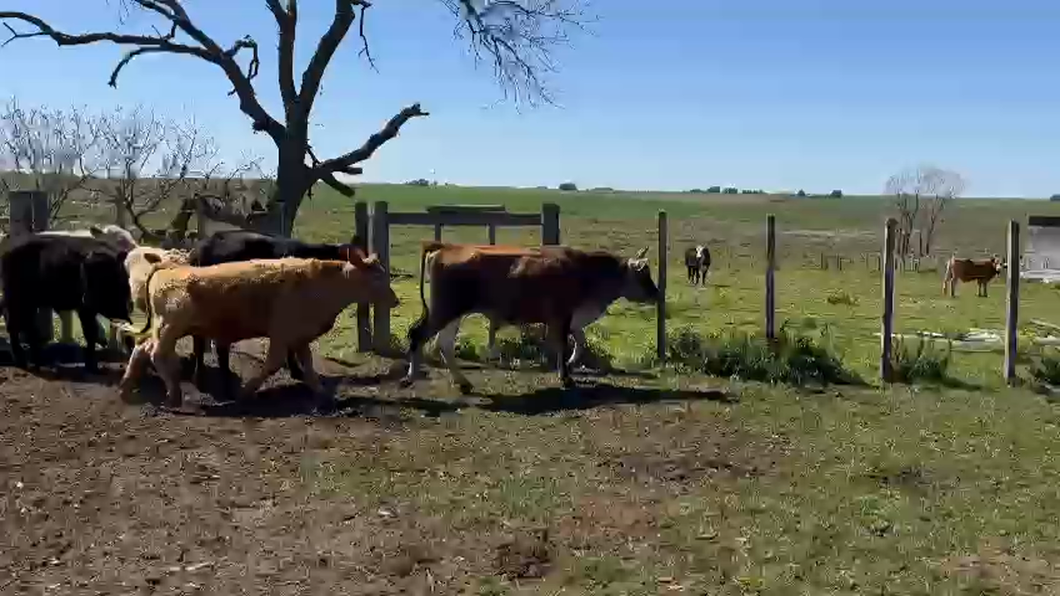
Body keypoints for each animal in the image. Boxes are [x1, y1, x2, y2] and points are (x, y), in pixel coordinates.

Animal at [0, 233, 132, 369]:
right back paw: (23, 362)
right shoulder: (85, 308)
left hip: (28, 302)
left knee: (27, 324)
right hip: (15, 298)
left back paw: (37, 361)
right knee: (14, 324)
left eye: (110, 273)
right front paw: (92, 366)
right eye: (86, 271)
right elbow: (90, 332)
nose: (88, 297)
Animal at [117, 252, 398, 411]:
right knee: (155, 353)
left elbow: (308, 366)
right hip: (171, 327)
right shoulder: (282, 334)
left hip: (166, 328)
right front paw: (244, 393)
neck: (319, 284)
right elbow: (272, 364)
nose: (395, 300)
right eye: (375, 277)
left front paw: (322, 396)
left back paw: (126, 389)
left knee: (142, 348)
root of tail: (168, 267)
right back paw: (174, 394)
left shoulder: (299, 336)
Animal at [398, 238, 657, 392]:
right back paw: (410, 376)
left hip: (453, 314)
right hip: (445, 310)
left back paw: (462, 381)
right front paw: (566, 376)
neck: (586, 271)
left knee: (444, 344)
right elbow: (563, 345)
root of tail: (446, 246)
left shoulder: (570, 319)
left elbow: (580, 342)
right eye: (644, 274)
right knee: (417, 334)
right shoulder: (562, 316)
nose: (656, 293)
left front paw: (570, 366)